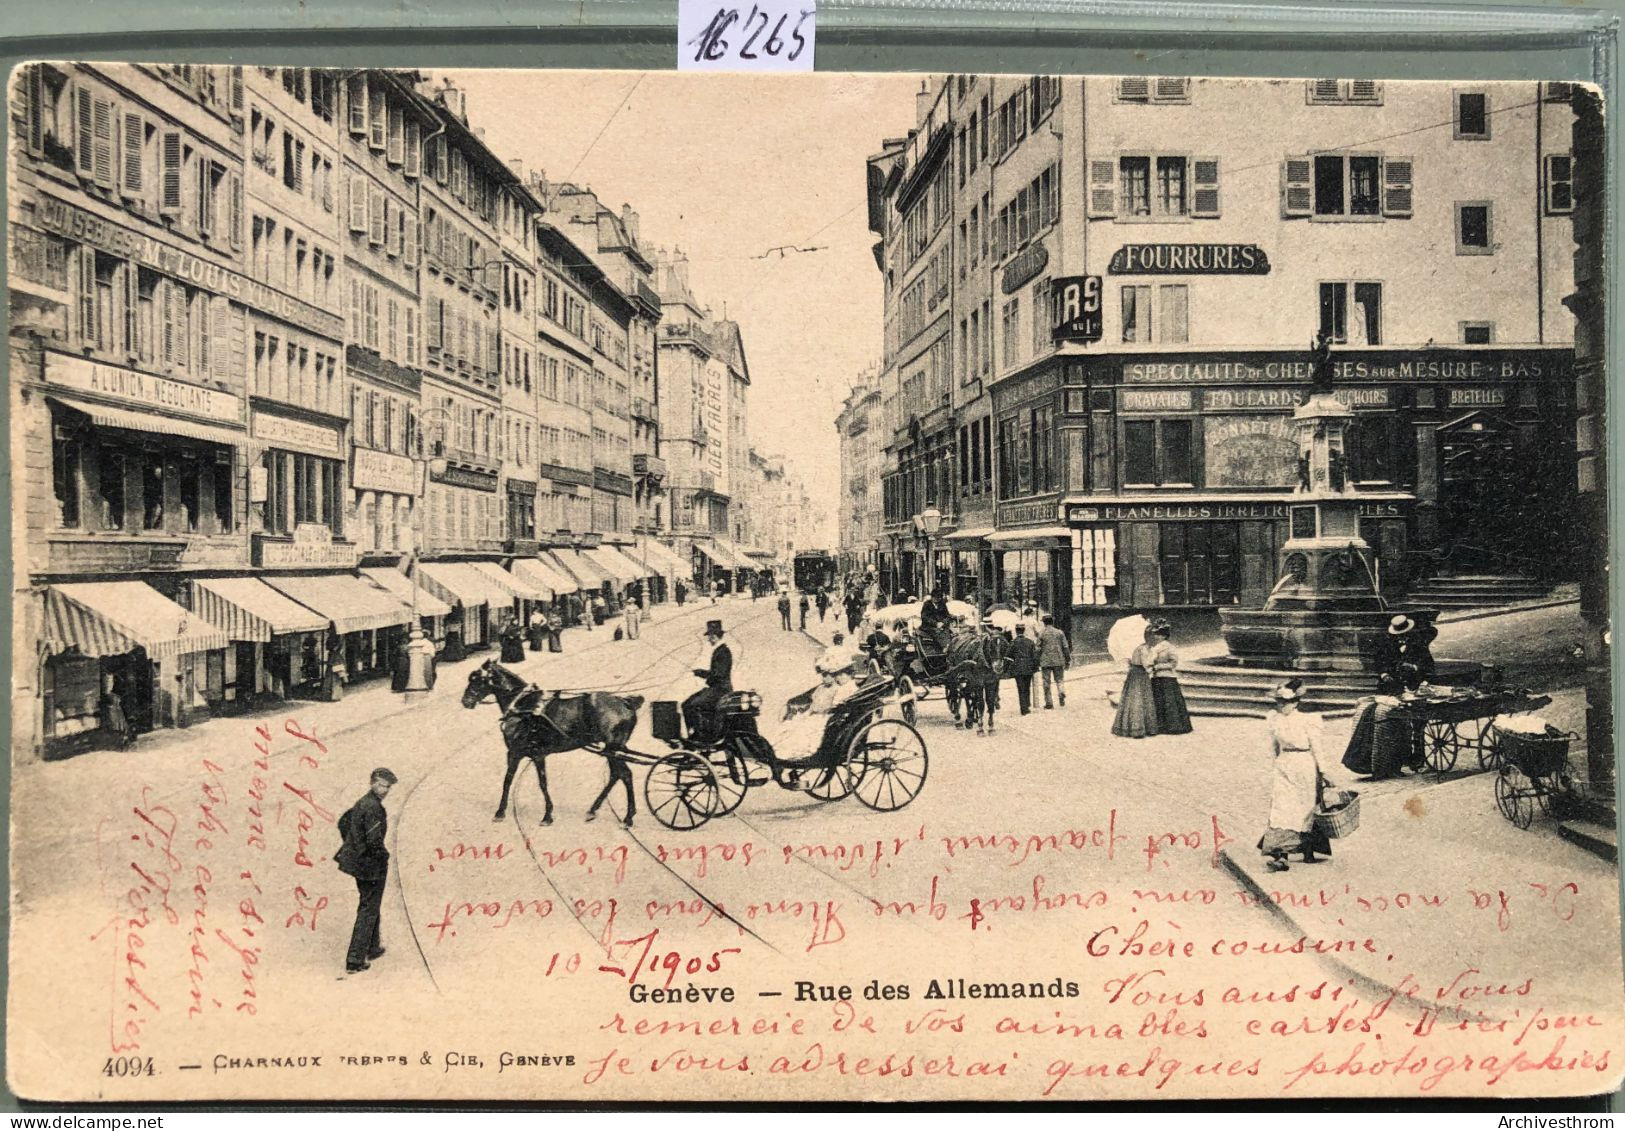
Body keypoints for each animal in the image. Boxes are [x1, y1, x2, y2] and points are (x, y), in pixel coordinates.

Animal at [464, 663, 640, 832]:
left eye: (477, 679)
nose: (465, 701)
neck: (522, 708)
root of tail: (627, 703)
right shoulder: (517, 754)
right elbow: (508, 780)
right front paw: (501, 812)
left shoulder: (529, 754)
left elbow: (539, 783)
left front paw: (546, 816)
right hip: (612, 750)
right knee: (616, 774)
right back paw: (593, 810)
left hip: (612, 748)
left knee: (625, 774)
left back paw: (627, 819)